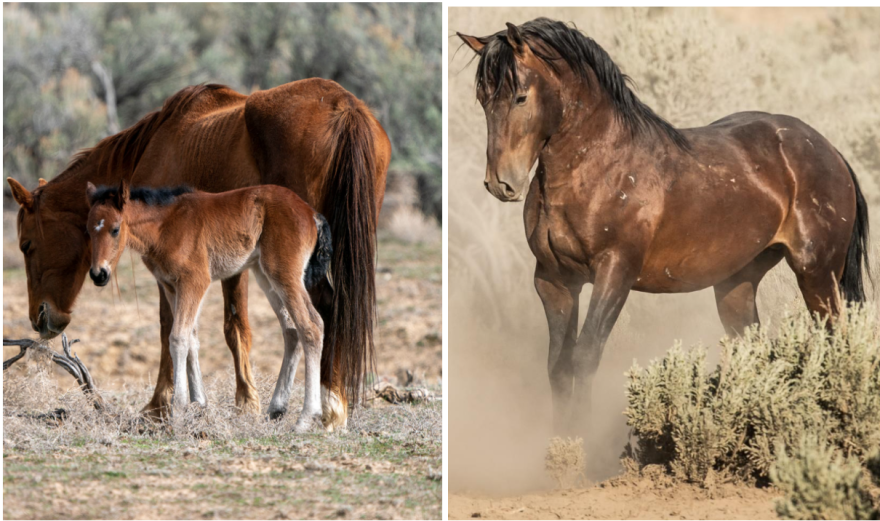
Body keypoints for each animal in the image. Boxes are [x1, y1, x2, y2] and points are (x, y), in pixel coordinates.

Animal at [86, 181, 331, 431]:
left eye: (115, 229)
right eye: (88, 229)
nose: (98, 274)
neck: (164, 226)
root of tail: (311, 213)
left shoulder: (194, 281)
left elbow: (178, 338)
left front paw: (179, 410)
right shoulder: (170, 287)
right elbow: (192, 339)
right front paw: (199, 406)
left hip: (284, 275)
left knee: (311, 326)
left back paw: (306, 418)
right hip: (265, 276)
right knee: (291, 331)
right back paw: (276, 410)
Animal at [457, 18, 870, 437]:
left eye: (521, 97)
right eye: (483, 99)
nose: (501, 184)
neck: (599, 169)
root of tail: (830, 151)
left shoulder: (615, 274)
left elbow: (586, 356)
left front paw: (585, 442)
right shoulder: (554, 280)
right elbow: (558, 366)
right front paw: (561, 442)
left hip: (817, 274)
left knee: (836, 341)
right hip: (737, 284)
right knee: (755, 352)